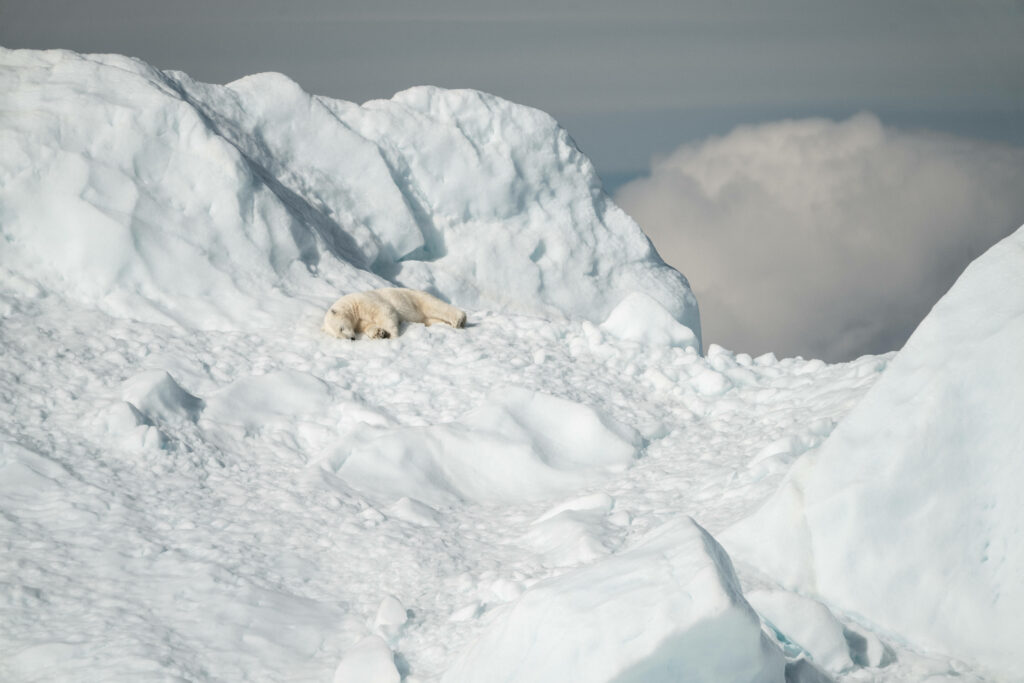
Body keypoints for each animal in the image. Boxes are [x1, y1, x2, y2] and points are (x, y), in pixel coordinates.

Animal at [323, 287, 467, 340]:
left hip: (415, 299)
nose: (351, 338)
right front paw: (379, 333)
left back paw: (459, 319)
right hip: (425, 317)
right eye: (338, 336)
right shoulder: (359, 322)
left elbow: (384, 310)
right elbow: (368, 326)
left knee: (434, 305)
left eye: (341, 328)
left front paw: (392, 335)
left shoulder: (364, 301)